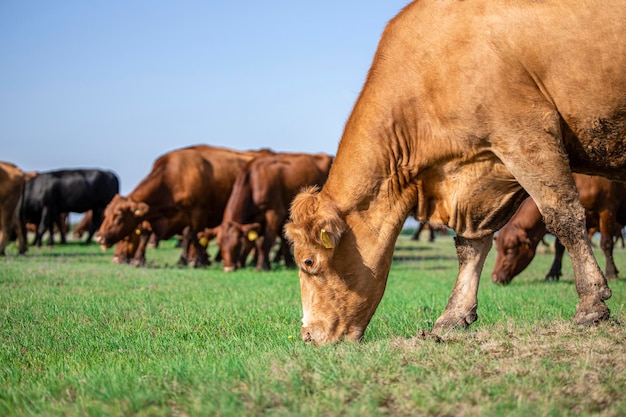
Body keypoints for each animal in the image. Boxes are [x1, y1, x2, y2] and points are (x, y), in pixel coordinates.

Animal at [96, 145, 272, 264]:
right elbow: (147, 233)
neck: (173, 178)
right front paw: (139, 260)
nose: (99, 237)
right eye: (105, 214)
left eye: (118, 216)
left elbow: (191, 235)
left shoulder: (198, 213)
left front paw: (197, 260)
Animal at [202, 151, 334, 272]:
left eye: (237, 244)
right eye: (219, 244)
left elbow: (266, 241)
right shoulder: (257, 219)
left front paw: (263, 266)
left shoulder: (274, 213)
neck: (253, 180)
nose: (229, 268)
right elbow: (256, 242)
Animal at [490, 174, 620, 284]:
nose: (495, 278)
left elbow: (606, 244)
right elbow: (559, 247)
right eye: (497, 249)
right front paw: (553, 274)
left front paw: (611, 274)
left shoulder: (607, 210)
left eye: (511, 249)